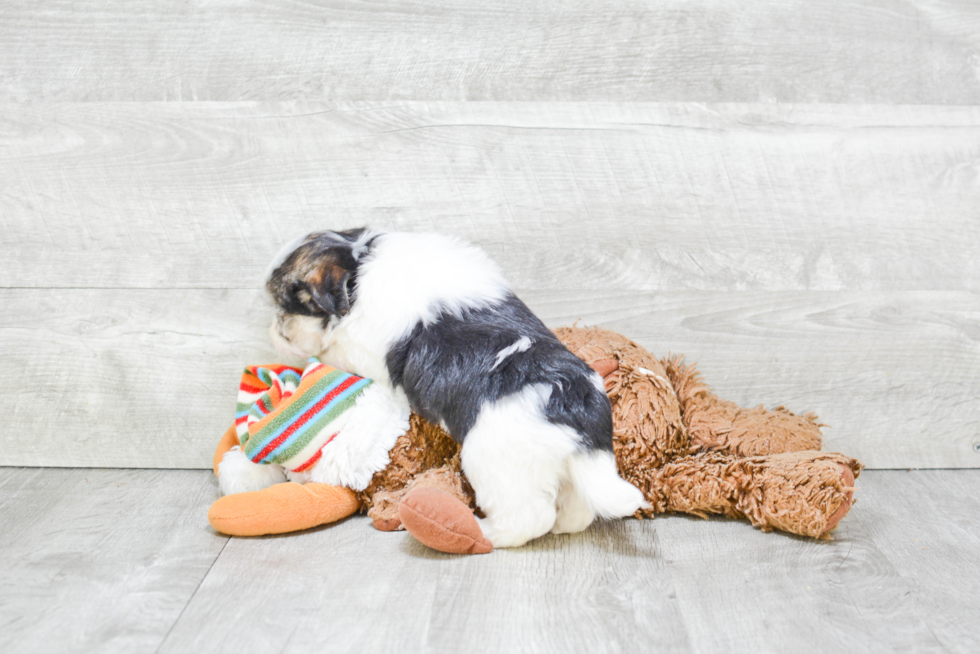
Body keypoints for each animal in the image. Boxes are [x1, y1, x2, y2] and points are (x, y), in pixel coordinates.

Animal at [264, 231, 648, 548]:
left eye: (287, 306)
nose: (274, 330)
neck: (359, 265)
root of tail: (571, 408)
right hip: (578, 467)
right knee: (578, 507)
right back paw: (563, 525)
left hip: (496, 463)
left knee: (528, 517)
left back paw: (486, 531)